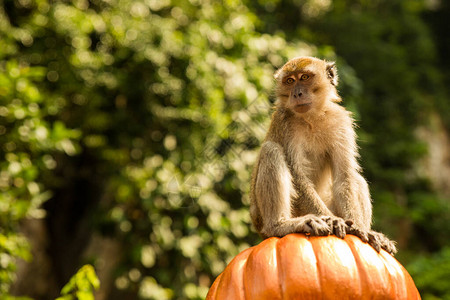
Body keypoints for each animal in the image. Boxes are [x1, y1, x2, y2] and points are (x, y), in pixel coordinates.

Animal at [250, 55, 398, 253]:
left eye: (304, 77)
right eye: (289, 81)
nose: (296, 93)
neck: (312, 118)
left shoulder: (341, 122)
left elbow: (344, 177)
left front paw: (360, 229)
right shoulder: (284, 123)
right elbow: (298, 176)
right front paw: (335, 221)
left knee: (355, 177)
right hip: (261, 217)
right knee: (271, 151)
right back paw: (280, 225)